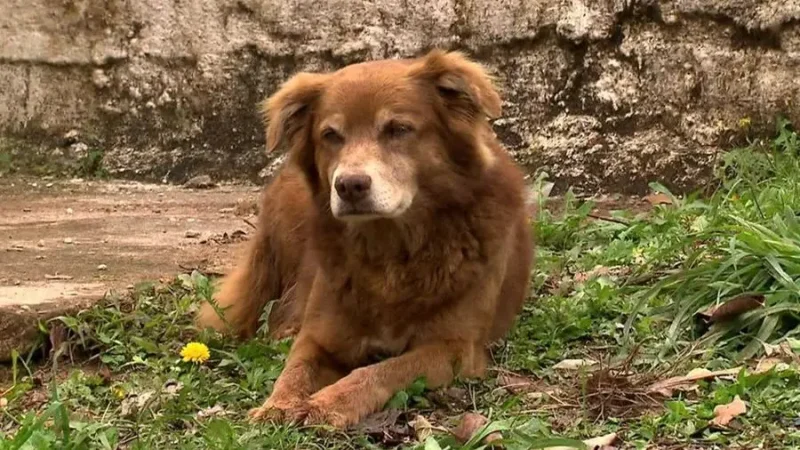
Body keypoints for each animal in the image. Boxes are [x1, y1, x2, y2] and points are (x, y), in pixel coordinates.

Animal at [196, 49, 534, 428]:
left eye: (398, 129)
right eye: (331, 135)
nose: (348, 185)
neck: (390, 249)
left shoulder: (454, 348)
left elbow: (382, 371)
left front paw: (328, 403)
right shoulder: (320, 334)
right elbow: (295, 368)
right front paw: (278, 405)